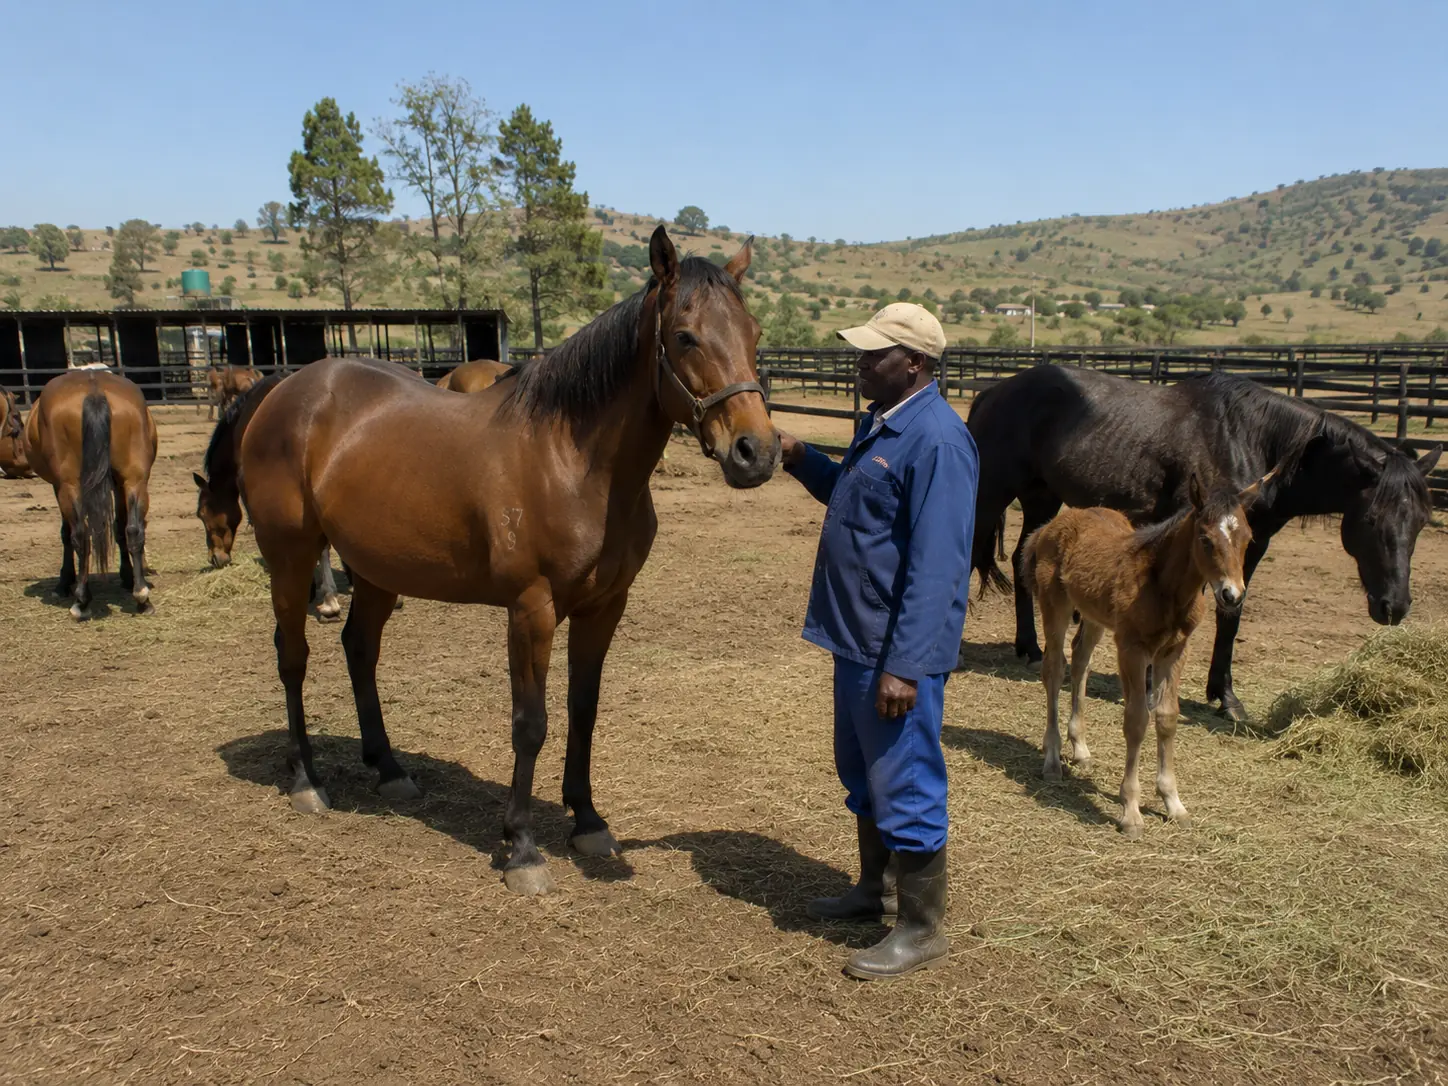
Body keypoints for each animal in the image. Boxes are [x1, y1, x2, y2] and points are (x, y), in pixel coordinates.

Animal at [25, 370, 158, 618]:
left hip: (69, 485)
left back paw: (82, 600)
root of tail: (94, 389)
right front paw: (127, 577)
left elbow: (66, 534)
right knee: (134, 530)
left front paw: (64, 583)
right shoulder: (118, 482)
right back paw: (141, 596)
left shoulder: (58, 485)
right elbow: (120, 527)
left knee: (80, 535)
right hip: (134, 479)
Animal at [238, 226, 776, 895]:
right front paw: (521, 846)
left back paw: (389, 769)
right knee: (293, 657)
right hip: (290, 557)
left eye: (754, 332)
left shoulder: (604, 607)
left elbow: (582, 710)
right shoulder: (531, 610)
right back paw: (306, 781)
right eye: (684, 336)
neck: (574, 460)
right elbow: (531, 721)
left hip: (376, 571)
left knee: (359, 650)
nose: (757, 452)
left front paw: (588, 821)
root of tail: (286, 389)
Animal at [968, 365, 1441, 720]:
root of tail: (992, 391)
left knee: (1021, 559)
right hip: (993, 492)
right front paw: (1150, 684)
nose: (1395, 607)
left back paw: (1030, 647)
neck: (1253, 442)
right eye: (1372, 519)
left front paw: (1226, 698)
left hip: (1041, 497)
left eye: (1421, 521)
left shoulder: (1250, 545)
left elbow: (1231, 616)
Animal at [1022, 470, 1272, 838]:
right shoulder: (1132, 648)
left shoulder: (1174, 650)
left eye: (1248, 539)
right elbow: (1137, 719)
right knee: (1054, 669)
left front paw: (1174, 803)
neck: (1164, 587)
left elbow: (1167, 718)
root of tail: (1051, 525)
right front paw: (1131, 811)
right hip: (1055, 606)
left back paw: (1080, 749)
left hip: (1094, 616)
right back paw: (1052, 760)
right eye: (1205, 538)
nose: (1232, 595)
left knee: (1080, 660)